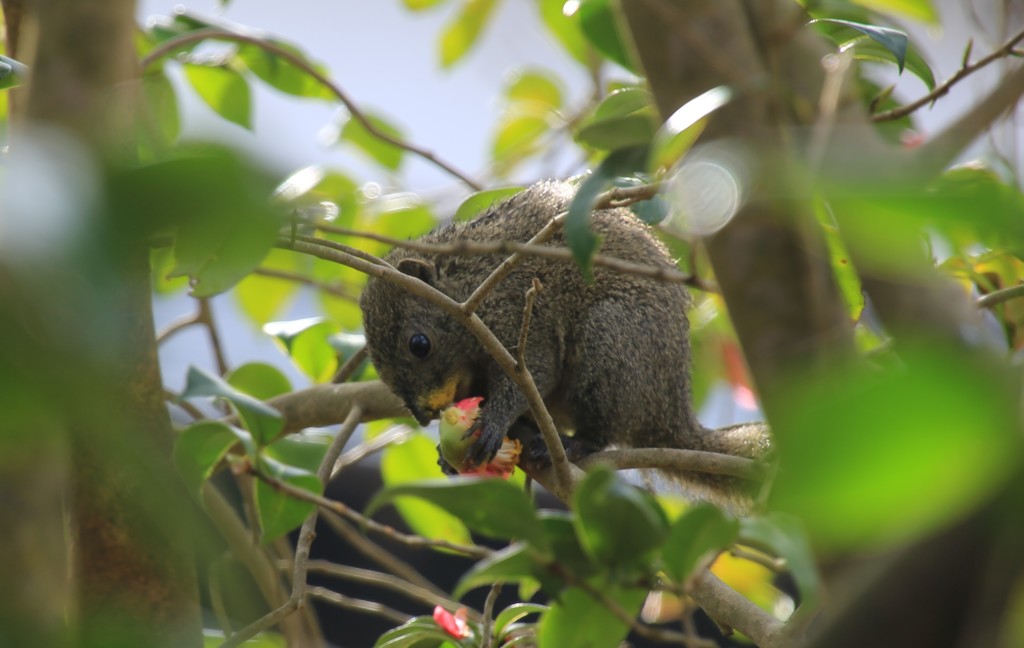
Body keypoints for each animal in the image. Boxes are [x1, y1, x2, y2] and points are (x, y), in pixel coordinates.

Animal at [358, 179, 770, 507]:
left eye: (419, 344)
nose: (424, 414)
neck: (471, 282)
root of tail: (670, 412)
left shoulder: (518, 314)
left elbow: (535, 372)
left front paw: (494, 420)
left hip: (613, 338)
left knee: (603, 430)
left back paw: (574, 444)